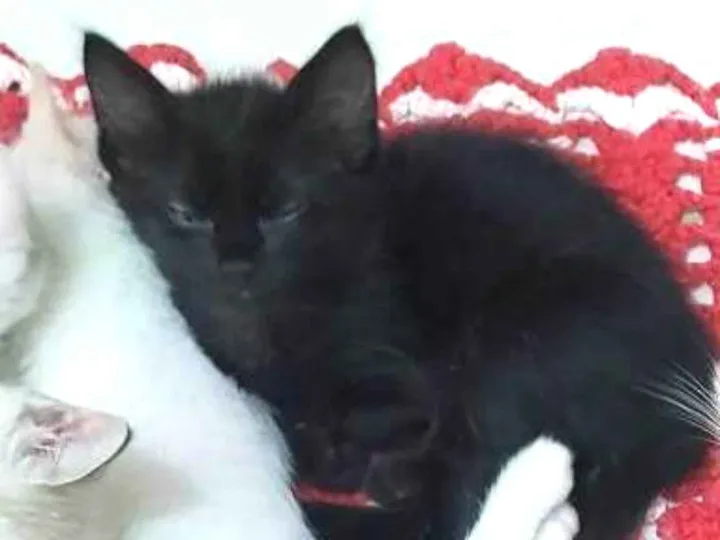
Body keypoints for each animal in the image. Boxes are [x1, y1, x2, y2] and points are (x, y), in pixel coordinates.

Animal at [82, 26, 717, 540]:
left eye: (285, 211)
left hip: (523, 345)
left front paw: (345, 456)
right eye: (185, 214)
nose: (235, 265)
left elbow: (345, 425)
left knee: (455, 498)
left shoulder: (398, 365)